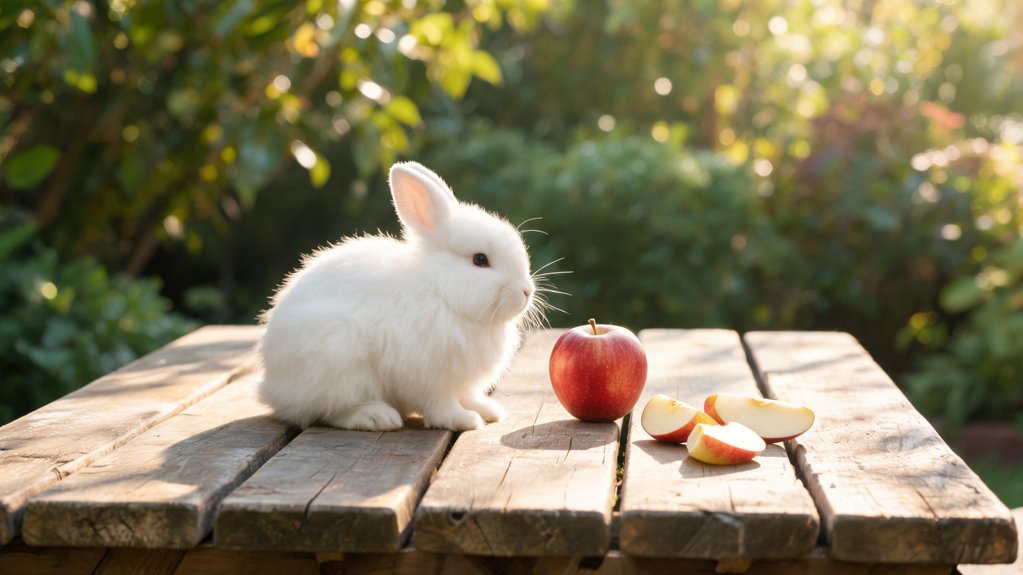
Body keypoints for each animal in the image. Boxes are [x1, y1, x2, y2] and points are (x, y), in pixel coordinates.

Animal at [256, 161, 540, 432]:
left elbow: (467, 395)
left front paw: (488, 410)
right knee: (328, 411)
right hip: (337, 364)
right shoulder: (426, 376)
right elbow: (440, 403)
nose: (526, 291)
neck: (441, 291)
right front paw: (462, 419)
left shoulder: (459, 380)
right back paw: (375, 416)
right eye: (480, 260)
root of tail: (271, 386)